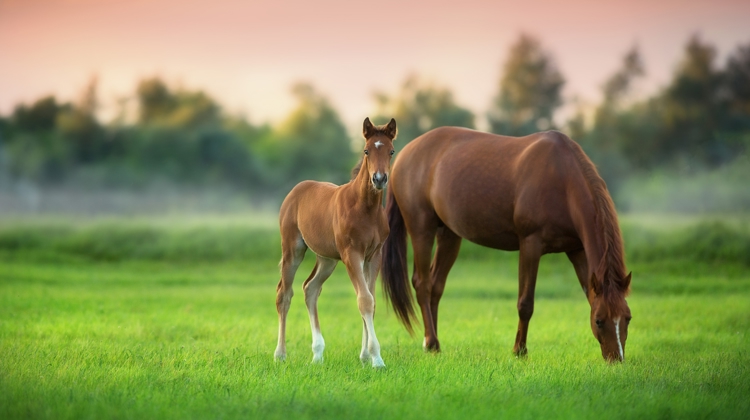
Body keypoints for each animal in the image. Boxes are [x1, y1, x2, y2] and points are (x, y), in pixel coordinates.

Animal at [276, 116, 400, 366]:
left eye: (391, 151)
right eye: (366, 150)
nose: (379, 179)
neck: (365, 209)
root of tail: (296, 189)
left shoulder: (373, 256)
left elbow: (371, 300)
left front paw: (365, 357)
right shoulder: (352, 254)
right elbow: (364, 300)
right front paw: (377, 359)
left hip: (327, 259)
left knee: (310, 289)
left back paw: (317, 354)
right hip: (293, 250)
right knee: (285, 294)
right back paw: (280, 354)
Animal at [382, 127, 636, 360]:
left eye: (628, 318)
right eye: (599, 321)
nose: (616, 359)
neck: (562, 179)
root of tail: (403, 154)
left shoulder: (576, 250)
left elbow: (588, 294)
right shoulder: (531, 245)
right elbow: (526, 303)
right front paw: (519, 351)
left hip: (449, 235)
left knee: (436, 286)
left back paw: (432, 342)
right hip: (421, 229)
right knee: (422, 284)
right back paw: (432, 341)